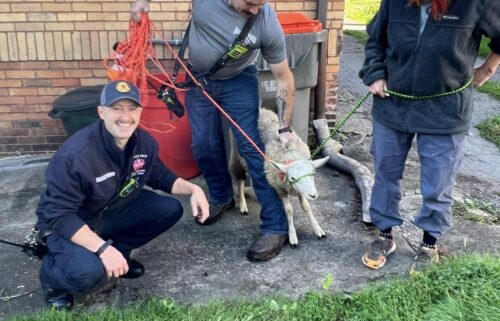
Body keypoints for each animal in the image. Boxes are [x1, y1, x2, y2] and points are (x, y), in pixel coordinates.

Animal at [229, 107, 330, 245]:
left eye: (313, 174)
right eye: (292, 178)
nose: (313, 195)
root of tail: (261, 109)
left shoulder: (298, 190)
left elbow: (306, 207)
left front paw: (317, 228)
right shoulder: (279, 187)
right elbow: (289, 210)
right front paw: (292, 236)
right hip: (237, 155)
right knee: (240, 180)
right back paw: (243, 205)